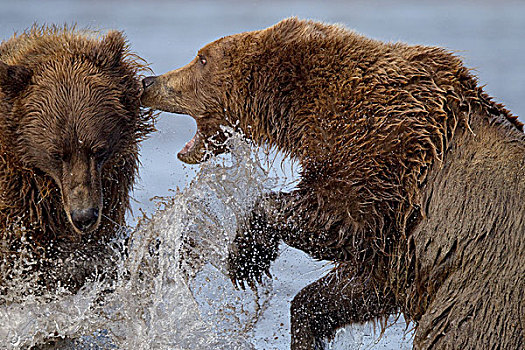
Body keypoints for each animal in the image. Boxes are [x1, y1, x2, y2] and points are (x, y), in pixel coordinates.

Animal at [139, 18, 524, 350]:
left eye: (202, 58)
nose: (149, 81)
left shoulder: (383, 154)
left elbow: (333, 218)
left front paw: (246, 255)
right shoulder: (402, 245)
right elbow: (356, 285)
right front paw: (306, 326)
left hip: (483, 295)